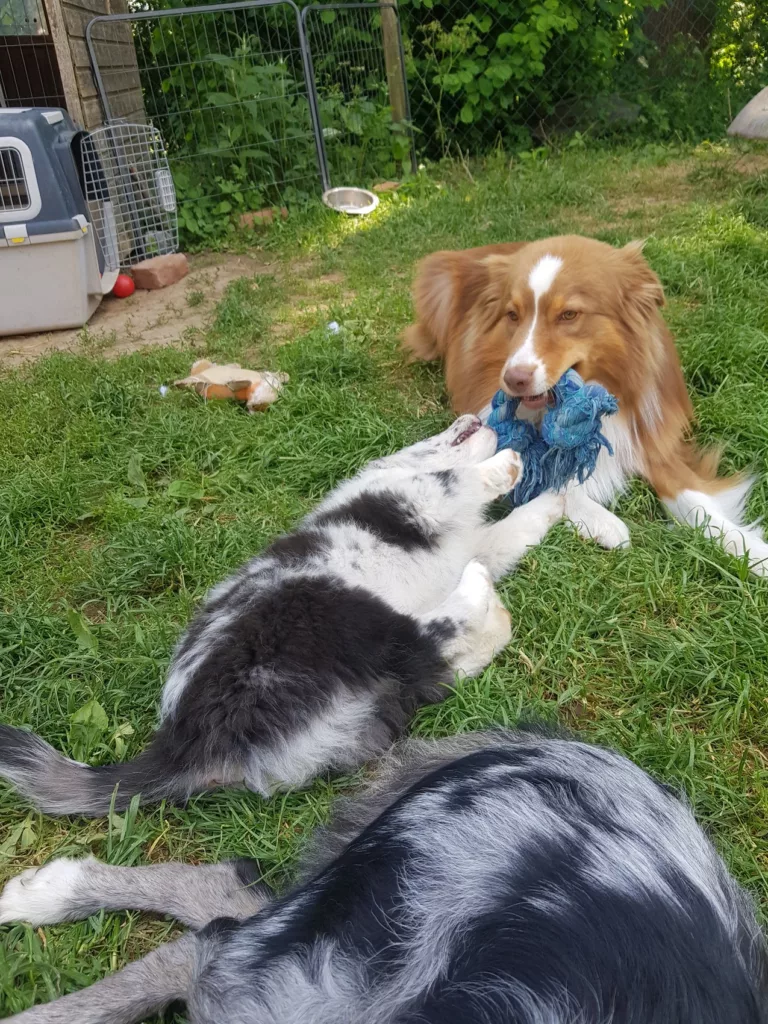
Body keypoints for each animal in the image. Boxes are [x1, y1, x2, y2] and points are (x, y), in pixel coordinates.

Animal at [0, 415, 565, 815]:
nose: (472, 414)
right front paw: (507, 464)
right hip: (328, 619)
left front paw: (557, 497)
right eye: (434, 434)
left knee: (423, 666)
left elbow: (516, 528)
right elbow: (453, 479)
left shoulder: (474, 541)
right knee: (423, 637)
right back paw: (479, 595)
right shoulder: (410, 501)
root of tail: (183, 743)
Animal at [403, 236, 768, 577]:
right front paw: (604, 522)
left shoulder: (653, 439)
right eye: (512, 315)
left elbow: (696, 501)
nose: (513, 379)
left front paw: (750, 550)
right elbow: (552, 478)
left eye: (569, 314)